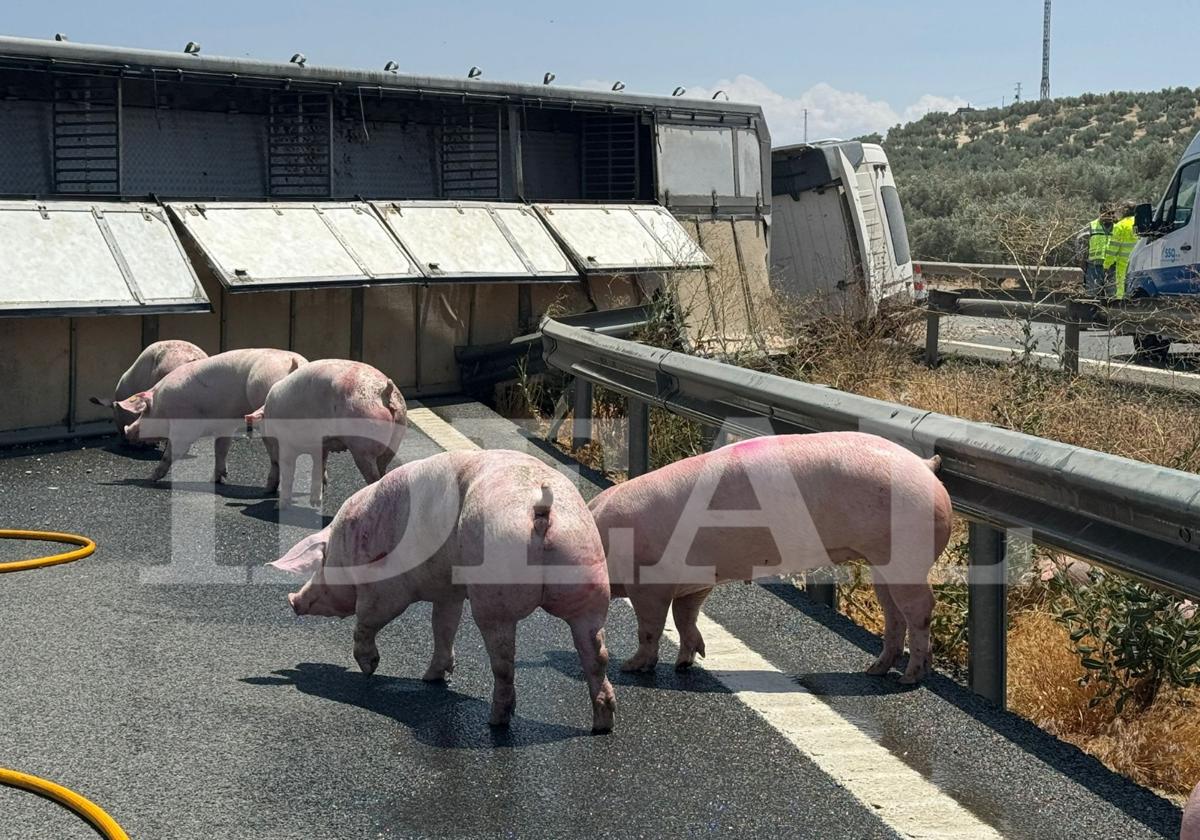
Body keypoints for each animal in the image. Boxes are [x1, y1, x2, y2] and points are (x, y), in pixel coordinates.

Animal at [117, 345, 307, 482]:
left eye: (144, 411)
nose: (127, 431)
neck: (162, 405)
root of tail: (294, 362)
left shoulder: (184, 427)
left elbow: (172, 451)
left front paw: (150, 478)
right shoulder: (225, 425)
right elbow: (221, 449)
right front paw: (216, 480)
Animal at [243, 357, 408, 508]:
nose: (265, 492)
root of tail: (385, 392)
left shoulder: (286, 442)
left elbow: (288, 470)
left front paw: (281, 506)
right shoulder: (321, 445)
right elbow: (319, 467)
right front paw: (315, 502)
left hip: (364, 442)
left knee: (373, 476)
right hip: (395, 436)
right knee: (383, 470)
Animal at [273, 448, 619, 729]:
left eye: (321, 562)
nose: (292, 600)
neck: (352, 546)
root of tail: (541, 510)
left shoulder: (386, 588)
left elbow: (368, 621)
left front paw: (369, 668)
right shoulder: (447, 591)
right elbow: (443, 626)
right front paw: (431, 678)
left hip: (495, 594)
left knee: (504, 659)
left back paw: (496, 721)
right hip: (587, 574)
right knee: (596, 652)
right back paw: (602, 723)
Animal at [585, 432, 950, 681]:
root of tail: (925, 466)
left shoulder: (650, 583)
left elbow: (650, 627)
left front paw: (631, 667)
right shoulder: (694, 582)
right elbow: (685, 618)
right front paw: (687, 662)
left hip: (908, 552)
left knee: (920, 608)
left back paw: (910, 677)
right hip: (883, 562)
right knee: (893, 610)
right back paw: (874, 670)